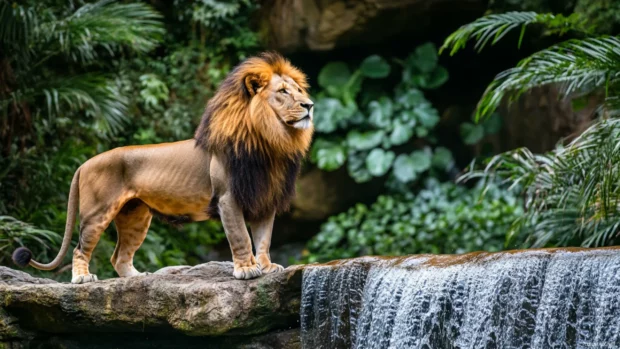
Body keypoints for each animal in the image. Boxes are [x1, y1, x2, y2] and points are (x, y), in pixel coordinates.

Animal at [12, 52, 314, 282]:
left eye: (299, 90)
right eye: (283, 92)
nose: (309, 105)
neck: (270, 143)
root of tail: (84, 163)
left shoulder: (265, 198)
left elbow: (263, 238)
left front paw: (266, 266)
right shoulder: (228, 198)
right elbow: (241, 236)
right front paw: (247, 269)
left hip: (135, 215)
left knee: (118, 256)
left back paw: (138, 278)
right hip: (97, 213)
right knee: (80, 248)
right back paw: (82, 278)